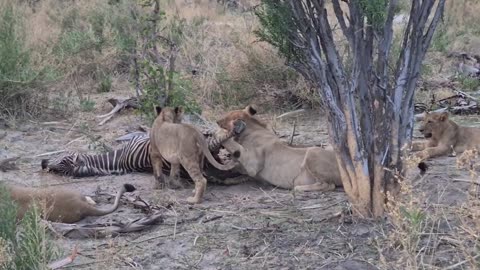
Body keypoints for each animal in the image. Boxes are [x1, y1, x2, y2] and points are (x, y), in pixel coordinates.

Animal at [216, 104, 344, 191]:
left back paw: (298, 187)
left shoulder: (252, 165)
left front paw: (218, 133)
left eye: (225, 118)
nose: (217, 121)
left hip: (313, 151)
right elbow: (240, 173)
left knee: (329, 185)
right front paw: (228, 179)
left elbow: (234, 146)